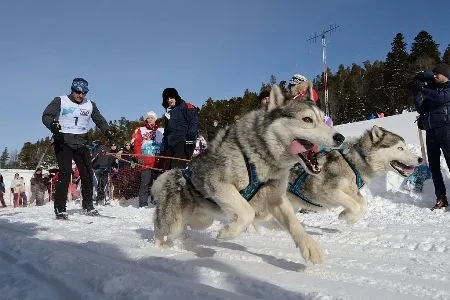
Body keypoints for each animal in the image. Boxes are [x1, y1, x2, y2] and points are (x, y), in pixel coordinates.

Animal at [151, 84, 344, 262]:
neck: (261, 157)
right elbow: (247, 211)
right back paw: (157, 249)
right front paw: (228, 232)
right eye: (307, 119)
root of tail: (172, 175)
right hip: (172, 222)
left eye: (322, 119)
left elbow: (294, 223)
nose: (340, 137)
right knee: (161, 233)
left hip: (202, 222)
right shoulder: (218, 184)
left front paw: (310, 247)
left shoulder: (276, 198)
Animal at [284, 125, 422, 223]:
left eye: (405, 147)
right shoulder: (329, 191)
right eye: (400, 148)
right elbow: (355, 205)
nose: (420, 159)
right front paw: (344, 215)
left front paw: (351, 218)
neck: (353, 163)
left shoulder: (353, 192)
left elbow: (363, 205)